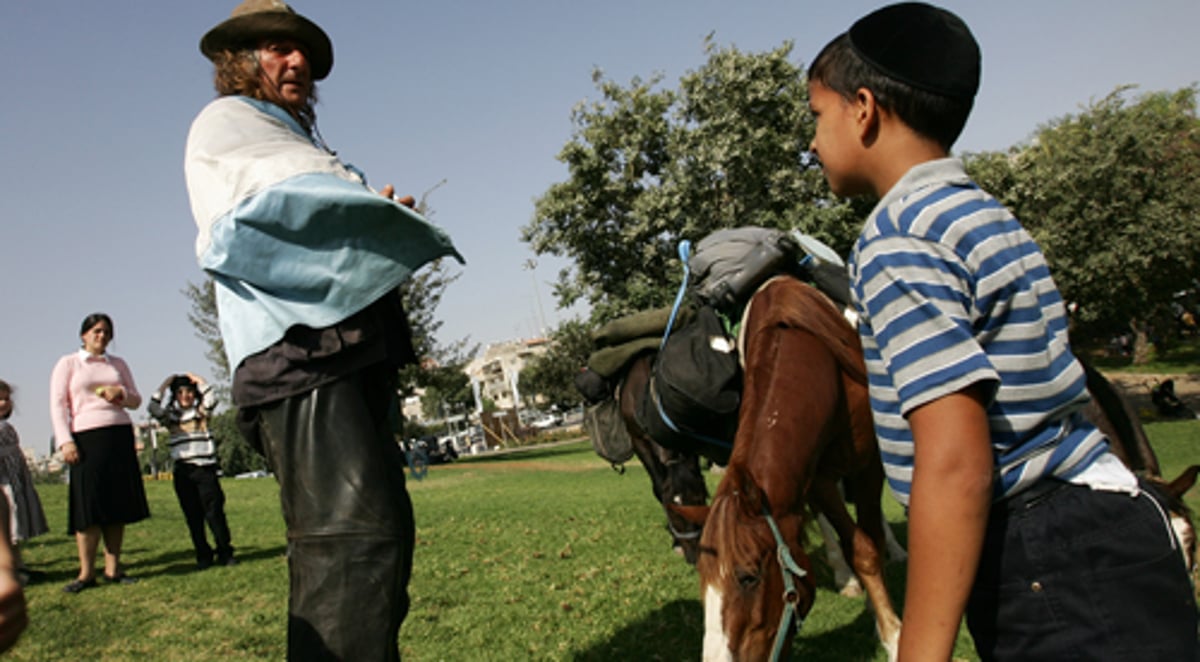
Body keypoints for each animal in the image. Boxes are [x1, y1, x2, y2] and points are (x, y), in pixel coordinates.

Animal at [676, 278, 902, 662]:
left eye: (749, 577)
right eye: (703, 580)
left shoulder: (869, 464)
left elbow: (869, 544)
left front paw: (892, 634)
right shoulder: (817, 478)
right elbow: (854, 542)